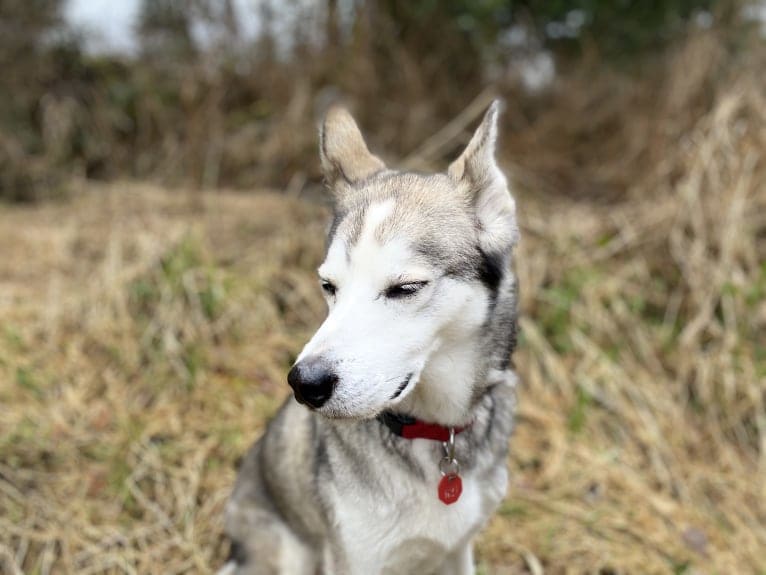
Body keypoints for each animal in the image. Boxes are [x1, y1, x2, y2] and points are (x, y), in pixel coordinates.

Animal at [222, 102, 520, 575]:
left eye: (405, 287)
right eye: (328, 286)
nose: (305, 384)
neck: (434, 434)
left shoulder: (458, 550)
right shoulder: (354, 558)